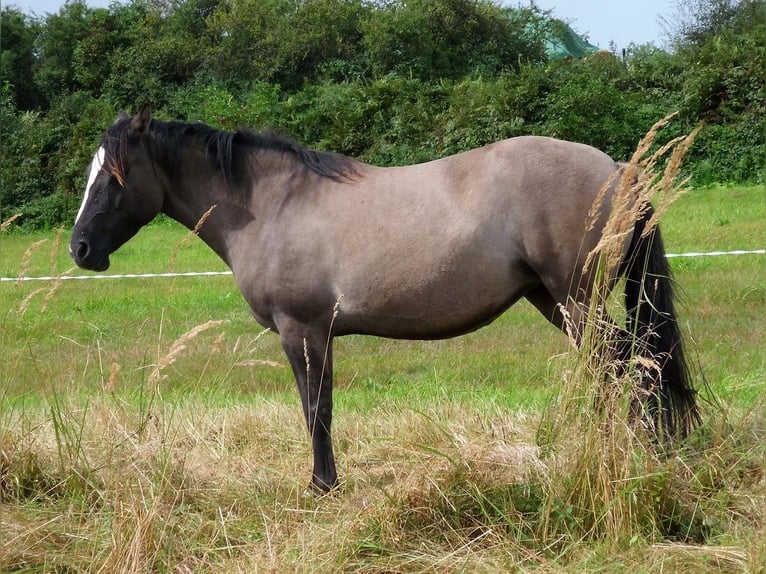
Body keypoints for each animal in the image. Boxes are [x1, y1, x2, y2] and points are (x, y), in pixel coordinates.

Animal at [72, 109, 704, 496]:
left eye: (114, 177)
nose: (80, 249)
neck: (272, 206)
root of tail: (618, 168)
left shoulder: (302, 331)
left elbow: (315, 410)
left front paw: (322, 487)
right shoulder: (314, 335)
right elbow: (318, 408)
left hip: (575, 299)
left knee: (628, 364)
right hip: (553, 300)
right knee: (619, 365)